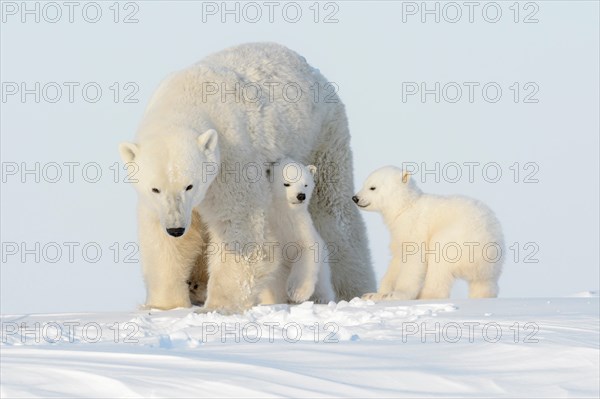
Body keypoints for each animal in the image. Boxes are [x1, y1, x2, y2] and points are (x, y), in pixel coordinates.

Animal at [119, 43, 376, 312]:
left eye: (190, 185)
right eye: (155, 189)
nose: (176, 228)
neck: (185, 98)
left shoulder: (233, 156)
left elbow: (240, 226)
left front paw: (219, 306)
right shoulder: (162, 204)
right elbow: (164, 240)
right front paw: (164, 305)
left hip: (322, 136)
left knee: (334, 215)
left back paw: (355, 289)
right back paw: (197, 286)